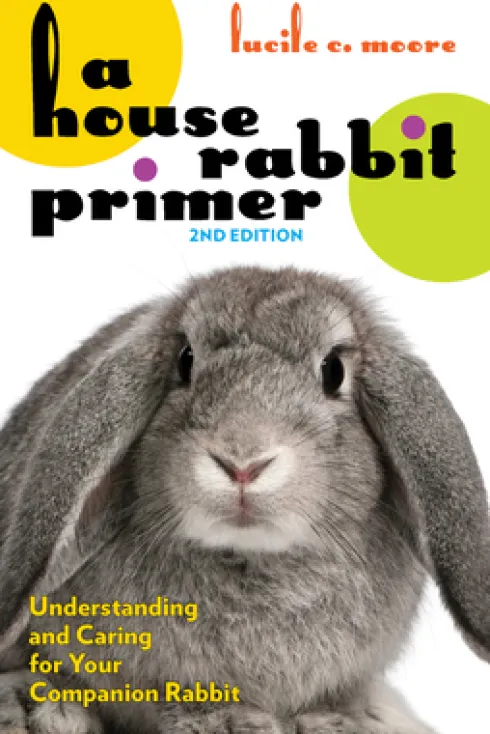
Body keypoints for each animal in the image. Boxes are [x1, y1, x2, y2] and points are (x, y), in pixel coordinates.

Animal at [0, 266, 488, 734]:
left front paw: (333, 722)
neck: (252, 557)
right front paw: (230, 722)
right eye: (186, 361)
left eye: (333, 370)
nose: (242, 462)